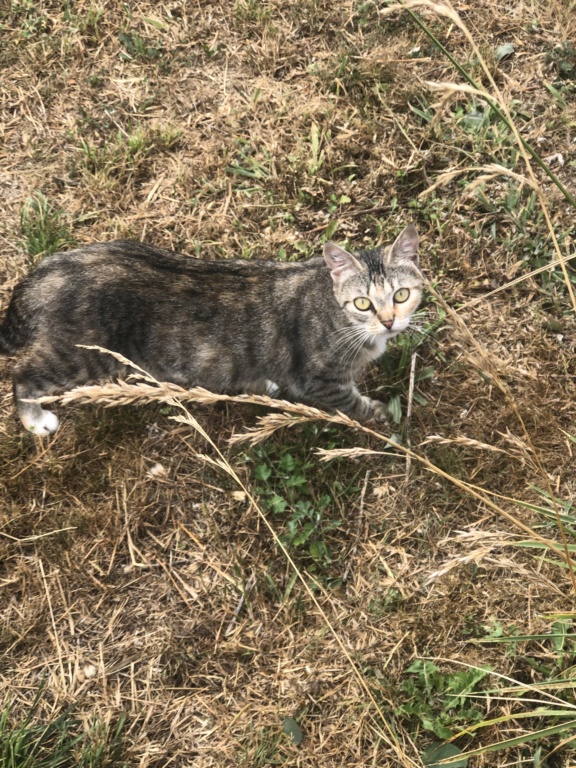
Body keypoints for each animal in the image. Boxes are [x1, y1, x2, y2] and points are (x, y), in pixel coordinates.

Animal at [1, 225, 424, 436]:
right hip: (77, 355)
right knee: (23, 375)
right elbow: (352, 404)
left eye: (401, 295)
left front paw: (261, 386)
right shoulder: (318, 379)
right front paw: (380, 415)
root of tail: (45, 273)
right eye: (363, 303)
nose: (389, 321)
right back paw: (35, 419)